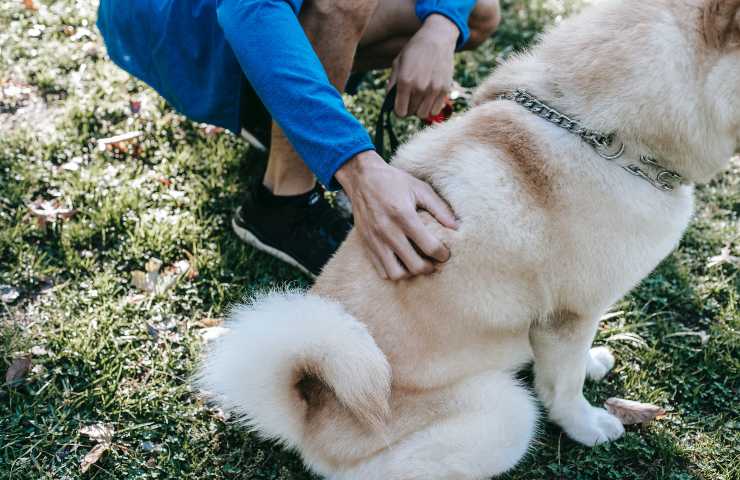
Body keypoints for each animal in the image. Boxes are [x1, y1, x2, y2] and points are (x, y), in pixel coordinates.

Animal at [197, 1, 740, 478]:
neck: (604, 135)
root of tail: (311, 413)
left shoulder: (573, 320)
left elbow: (575, 362)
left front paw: (593, 364)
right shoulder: (569, 314)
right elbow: (562, 388)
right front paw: (587, 426)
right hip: (506, 415)